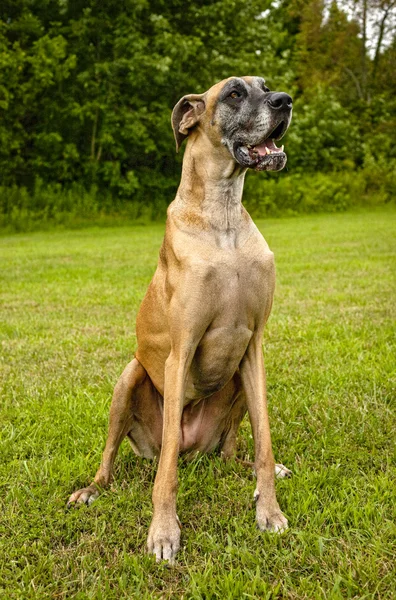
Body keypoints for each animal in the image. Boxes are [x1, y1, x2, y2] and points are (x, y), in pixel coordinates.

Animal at [67, 75, 290, 564]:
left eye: (265, 85)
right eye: (234, 93)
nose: (285, 101)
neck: (222, 218)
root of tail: (195, 450)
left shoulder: (255, 348)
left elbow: (264, 442)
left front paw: (269, 511)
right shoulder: (180, 351)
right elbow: (165, 468)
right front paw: (164, 531)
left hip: (236, 382)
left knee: (229, 453)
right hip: (129, 379)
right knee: (120, 456)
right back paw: (91, 489)